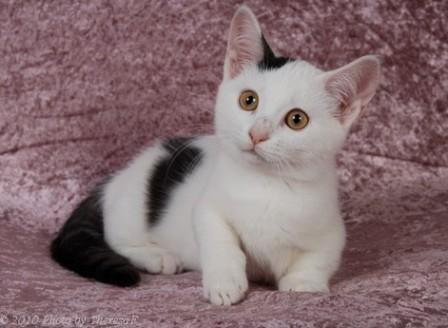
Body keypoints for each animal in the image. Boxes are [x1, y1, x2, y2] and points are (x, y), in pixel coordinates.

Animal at [50, 6, 380, 306]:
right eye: (249, 100)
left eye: (297, 119)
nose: (257, 133)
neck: (267, 183)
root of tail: (114, 179)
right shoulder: (208, 207)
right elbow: (221, 242)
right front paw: (225, 283)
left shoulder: (330, 228)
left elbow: (320, 256)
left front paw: (304, 283)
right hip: (132, 204)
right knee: (118, 238)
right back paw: (157, 256)